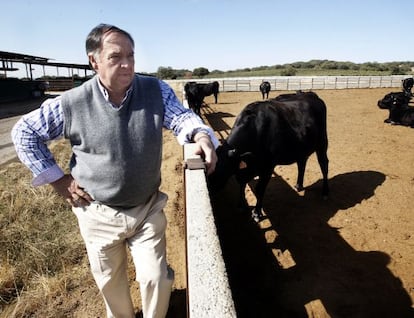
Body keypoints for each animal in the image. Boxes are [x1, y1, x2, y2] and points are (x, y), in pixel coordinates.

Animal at [209, 91, 332, 221]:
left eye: (222, 170)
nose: (210, 188)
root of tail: (311, 94)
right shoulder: (245, 169)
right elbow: (242, 184)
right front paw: (241, 205)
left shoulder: (267, 168)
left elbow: (259, 189)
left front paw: (257, 212)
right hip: (302, 148)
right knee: (302, 164)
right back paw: (298, 185)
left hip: (322, 144)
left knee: (324, 165)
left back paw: (325, 192)